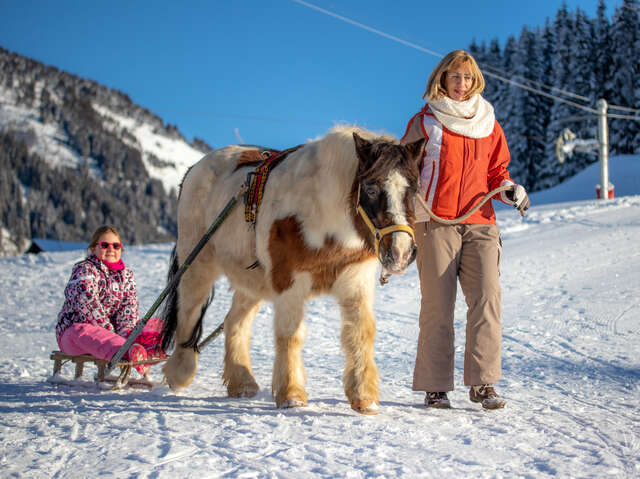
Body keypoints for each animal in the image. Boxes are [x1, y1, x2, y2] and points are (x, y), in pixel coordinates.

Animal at [160, 125, 424, 414]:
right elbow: (290, 335)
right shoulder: (289, 280)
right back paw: (180, 373)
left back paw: (242, 383)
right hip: (197, 263)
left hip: (252, 281)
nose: (401, 252)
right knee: (189, 310)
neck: (323, 215)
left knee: (235, 322)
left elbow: (360, 333)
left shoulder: (355, 280)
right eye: (371, 188)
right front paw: (292, 395)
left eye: (414, 189)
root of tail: (195, 168)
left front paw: (364, 398)